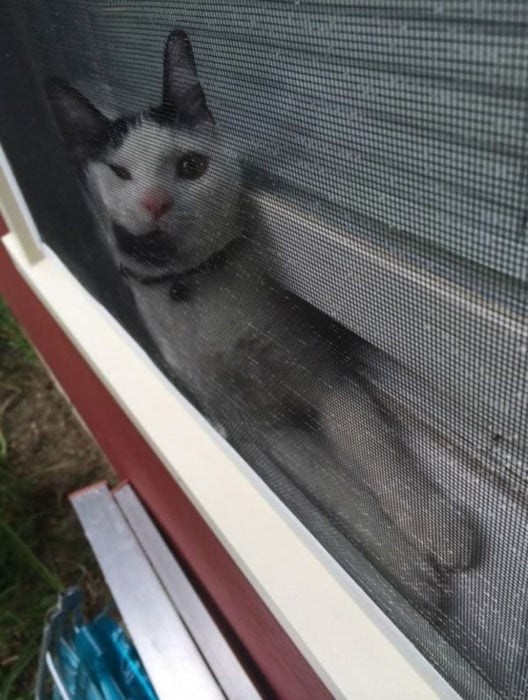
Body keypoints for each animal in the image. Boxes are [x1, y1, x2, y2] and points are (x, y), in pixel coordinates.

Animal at [47, 28, 480, 616]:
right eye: (118, 173)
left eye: (190, 166)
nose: (155, 203)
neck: (200, 291)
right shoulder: (268, 427)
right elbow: (339, 490)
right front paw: (410, 573)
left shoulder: (326, 377)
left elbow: (374, 450)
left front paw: (438, 528)